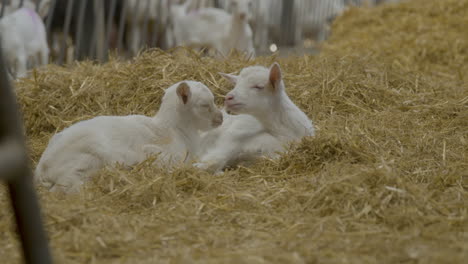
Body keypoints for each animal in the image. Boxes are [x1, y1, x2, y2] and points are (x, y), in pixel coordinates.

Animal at [35, 81, 222, 194]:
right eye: (205, 105)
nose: (220, 118)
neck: (175, 131)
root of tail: (43, 169)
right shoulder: (159, 156)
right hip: (86, 161)